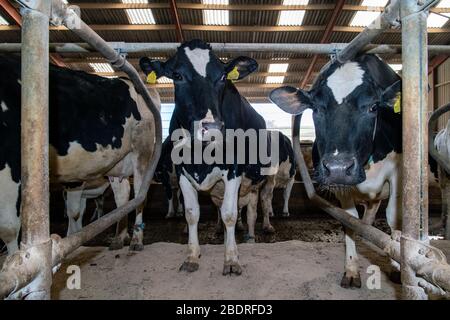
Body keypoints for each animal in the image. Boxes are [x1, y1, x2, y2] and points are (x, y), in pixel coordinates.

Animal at [0, 55, 160, 255]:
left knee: (139, 193)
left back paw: (136, 240)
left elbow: (8, 228)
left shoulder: (10, 166)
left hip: (141, 152)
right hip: (116, 163)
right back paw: (118, 238)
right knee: (122, 195)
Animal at [139, 39, 270, 276]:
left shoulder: (233, 169)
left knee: (250, 211)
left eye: (222, 77)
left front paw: (231, 260)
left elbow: (230, 214)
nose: (212, 127)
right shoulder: (182, 171)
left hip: (256, 185)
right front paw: (192, 256)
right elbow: (192, 213)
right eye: (177, 75)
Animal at [270, 53, 400, 288]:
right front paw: (351, 270)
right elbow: (349, 220)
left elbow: (394, 217)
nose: (338, 168)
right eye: (316, 108)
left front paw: (398, 265)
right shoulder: (341, 187)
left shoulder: (398, 170)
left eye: (373, 107)